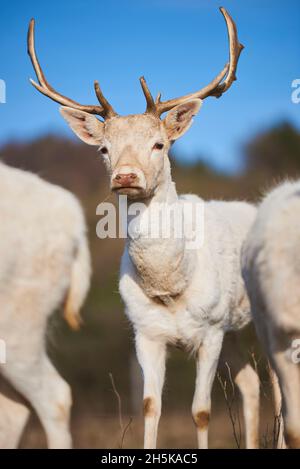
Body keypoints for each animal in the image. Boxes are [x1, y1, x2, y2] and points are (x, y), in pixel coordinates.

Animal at [28, 6, 262, 446]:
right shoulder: (146, 334)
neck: (171, 288)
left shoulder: (211, 330)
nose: (125, 176)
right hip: (240, 331)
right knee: (254, 384)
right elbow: (150, 406)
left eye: (159, 143)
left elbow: (201, 411)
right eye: (104, 149)